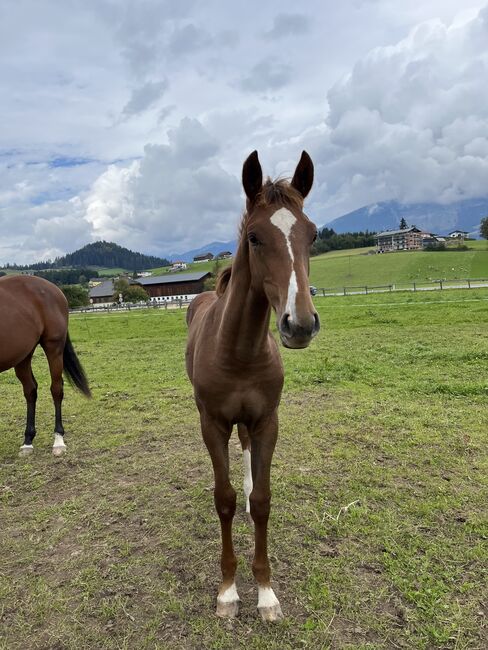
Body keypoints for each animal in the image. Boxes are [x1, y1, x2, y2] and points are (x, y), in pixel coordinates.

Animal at [0, 274, 90, 456]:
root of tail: (54, 288)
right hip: (23, 354)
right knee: (30, 390)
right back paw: (28, 441)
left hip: (53, 347)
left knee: (56, 389)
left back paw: (58, 440)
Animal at [185, 149, 318, 620]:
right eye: (255, 238)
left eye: (312, 235)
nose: (300, 324)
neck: (240, 349)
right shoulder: (212, 423)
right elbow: (221, 499)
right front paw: (228, 591)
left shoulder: (266, 422)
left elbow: (261, 501)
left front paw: (265, 592)